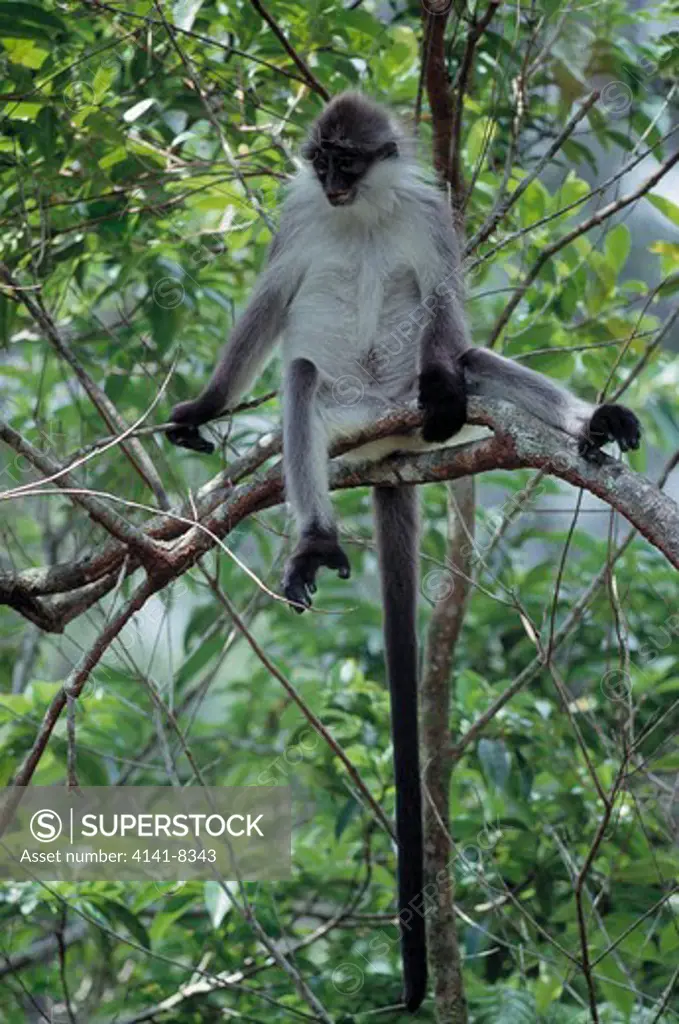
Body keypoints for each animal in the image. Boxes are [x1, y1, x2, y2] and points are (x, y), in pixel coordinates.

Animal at [168, 94, 643, 1007]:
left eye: (348, 162)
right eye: (321, 164)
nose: (330, 181)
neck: (359, 215)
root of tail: (386, 446)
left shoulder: (428, 218)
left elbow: (446, 315)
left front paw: (459, 387)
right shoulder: (298, 219)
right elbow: (268, 309)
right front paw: (203, 406)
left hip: (402, 410)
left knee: (465, 358)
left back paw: (578, 422)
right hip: (348, 421)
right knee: (303, 378)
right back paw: (315, 542)